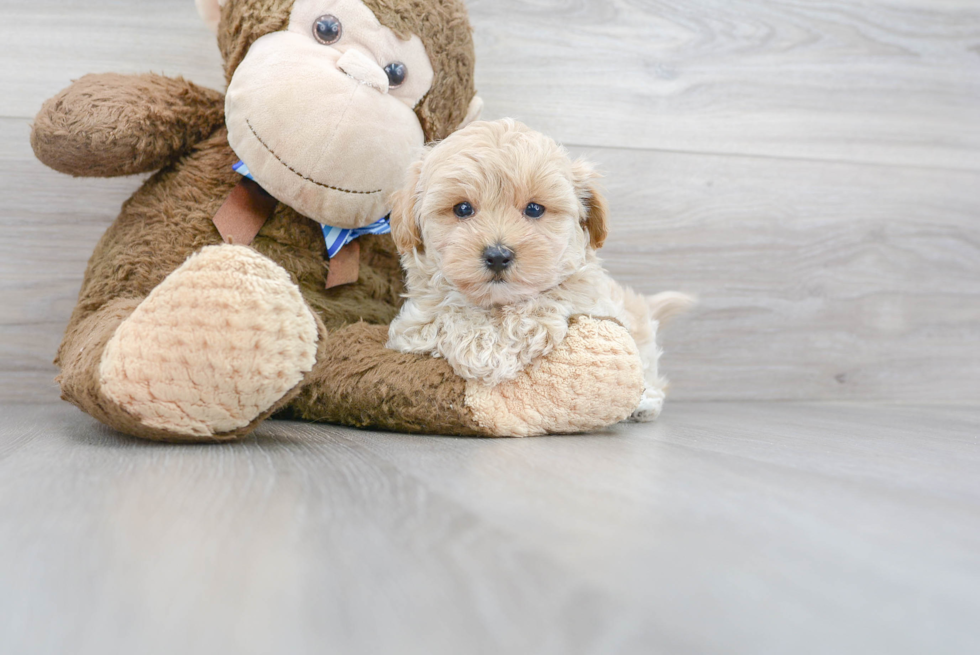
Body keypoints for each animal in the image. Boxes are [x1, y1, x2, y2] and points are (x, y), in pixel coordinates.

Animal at [386, 120, 692, 422]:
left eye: (534, 209)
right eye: (462, 209)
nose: (498, 256)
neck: (497, 304)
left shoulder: (590, 298)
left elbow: (546, 300)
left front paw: (501, 343)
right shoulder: (412, 323)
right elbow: (449, 313)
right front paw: (480, 346)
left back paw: (645, 403)